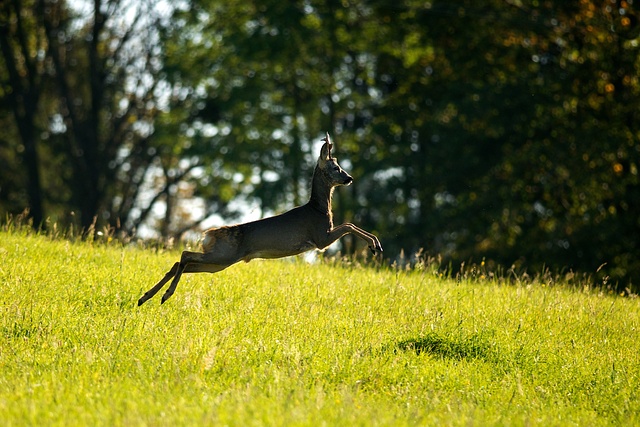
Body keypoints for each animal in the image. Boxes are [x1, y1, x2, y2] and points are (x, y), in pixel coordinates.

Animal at [136, 132, 382, 306]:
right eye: (335, 167)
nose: (349, 178)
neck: (319, 210)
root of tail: (209, 235)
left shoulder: (322, 237)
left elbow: (350, 224)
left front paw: (376, 245)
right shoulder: (320, 238)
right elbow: (349, 225)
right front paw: (375, 246)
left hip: (220, 262)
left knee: (181, 263)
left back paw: (145, 297)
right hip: (224, 254)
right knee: (185, 255)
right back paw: (164, 295)